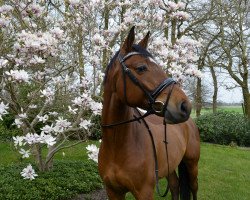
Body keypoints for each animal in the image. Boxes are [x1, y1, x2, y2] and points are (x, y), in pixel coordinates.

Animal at [98, 27, 200, 200]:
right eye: (141, 68)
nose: (185, 106)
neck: (116, 145)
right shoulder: (113, 191)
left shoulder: (144, 192)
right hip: (170, 165)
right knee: (175, 186)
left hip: (192, 165)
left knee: (193, 188)